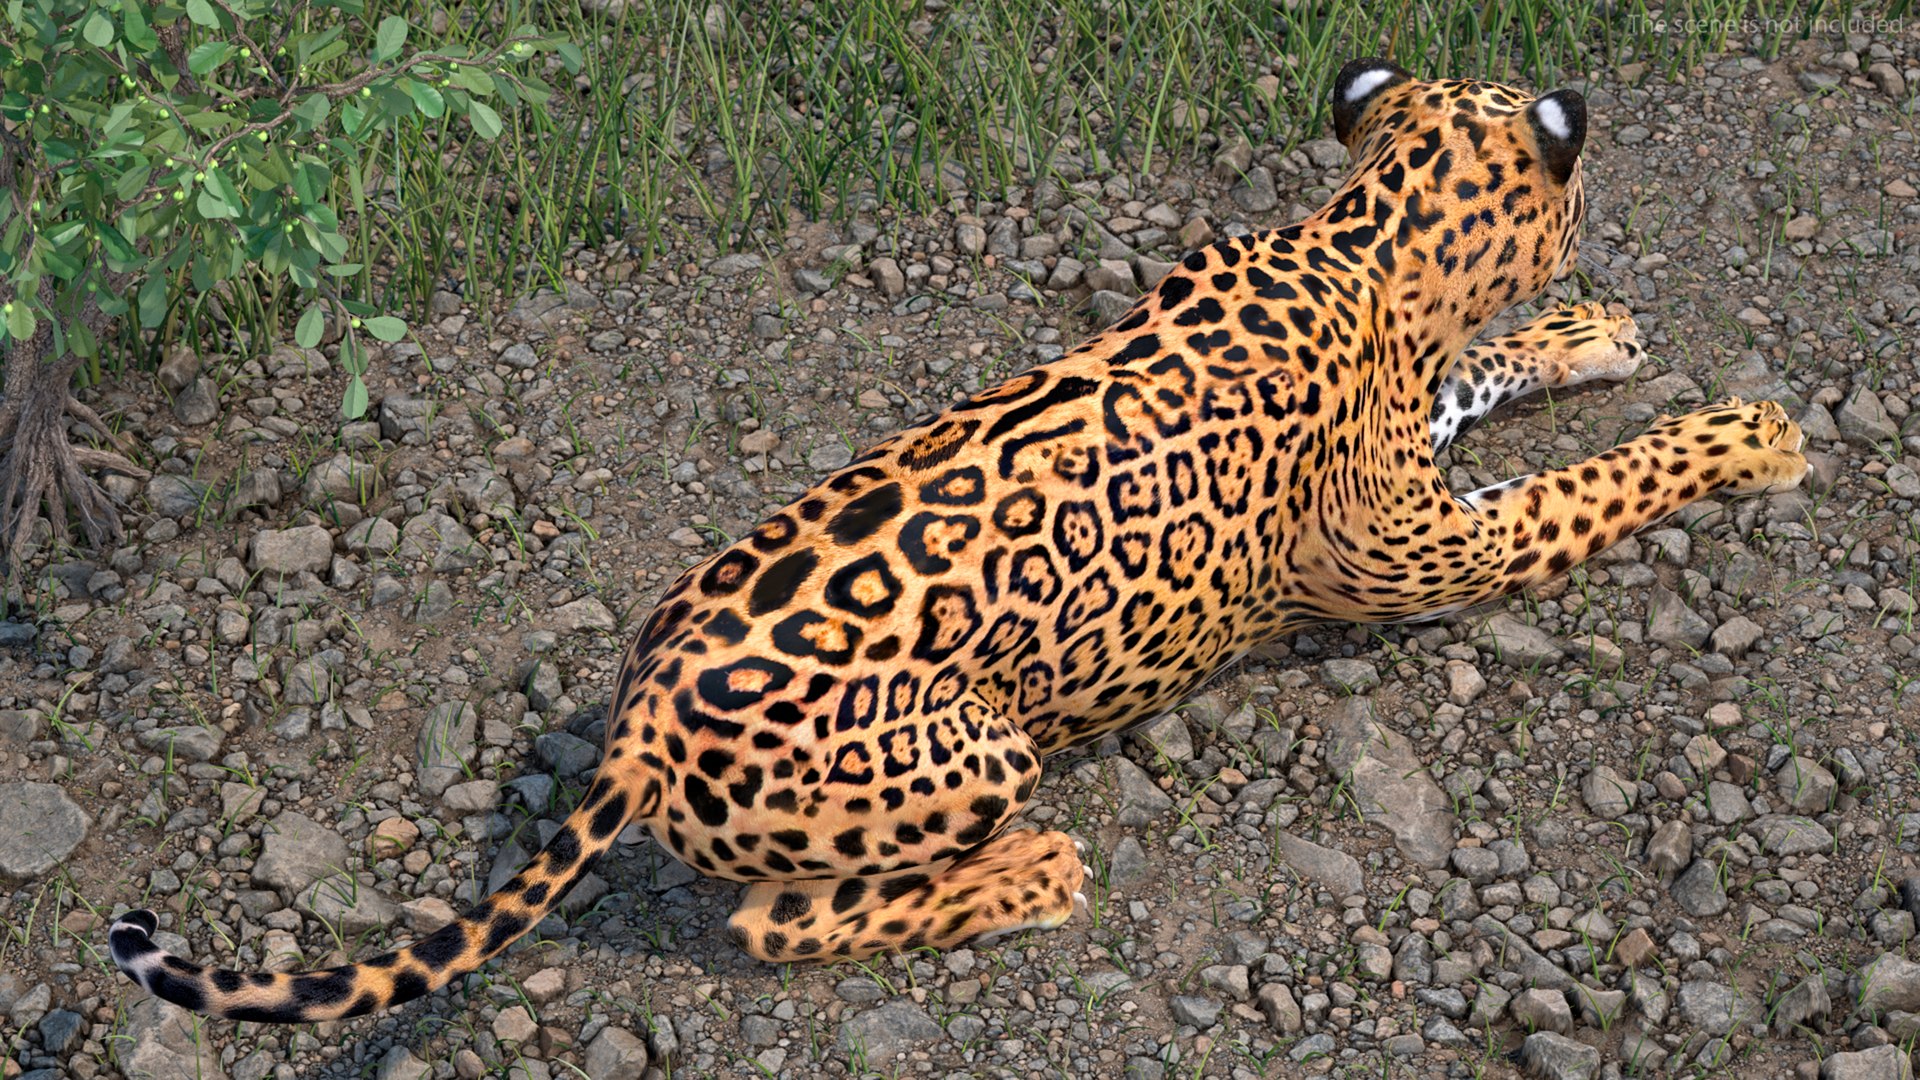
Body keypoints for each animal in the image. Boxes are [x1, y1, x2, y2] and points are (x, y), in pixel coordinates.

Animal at [109, 57, 1806, 1023]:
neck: (1361, 240)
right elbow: (1597, 486)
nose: (1596, 252)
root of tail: (638, 733)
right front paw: (1749, 435)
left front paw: (1590, 332)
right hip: (977, 743)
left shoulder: (1419, 458)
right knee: (775, 923)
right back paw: (1029, 874)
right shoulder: (1431, 556)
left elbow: (1488, 379)